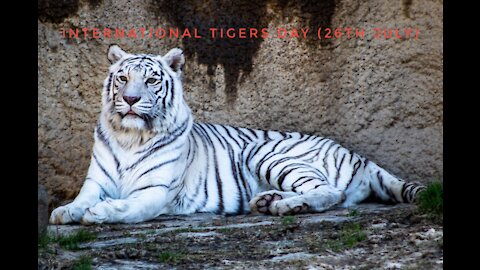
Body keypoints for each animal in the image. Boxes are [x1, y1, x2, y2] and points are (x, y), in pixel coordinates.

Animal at [49, 45, 424, 225]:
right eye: (123, 78)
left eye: (152, 80)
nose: (129, 99)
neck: (130, 136)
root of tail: (359, 156)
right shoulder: (96, 181)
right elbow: (82, 198)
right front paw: (65, 212)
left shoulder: (156, 190)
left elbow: (131, 208)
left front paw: (100, 213)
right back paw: (269, 201)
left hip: (265, 152)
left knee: (331, 192)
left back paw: (287, 206)